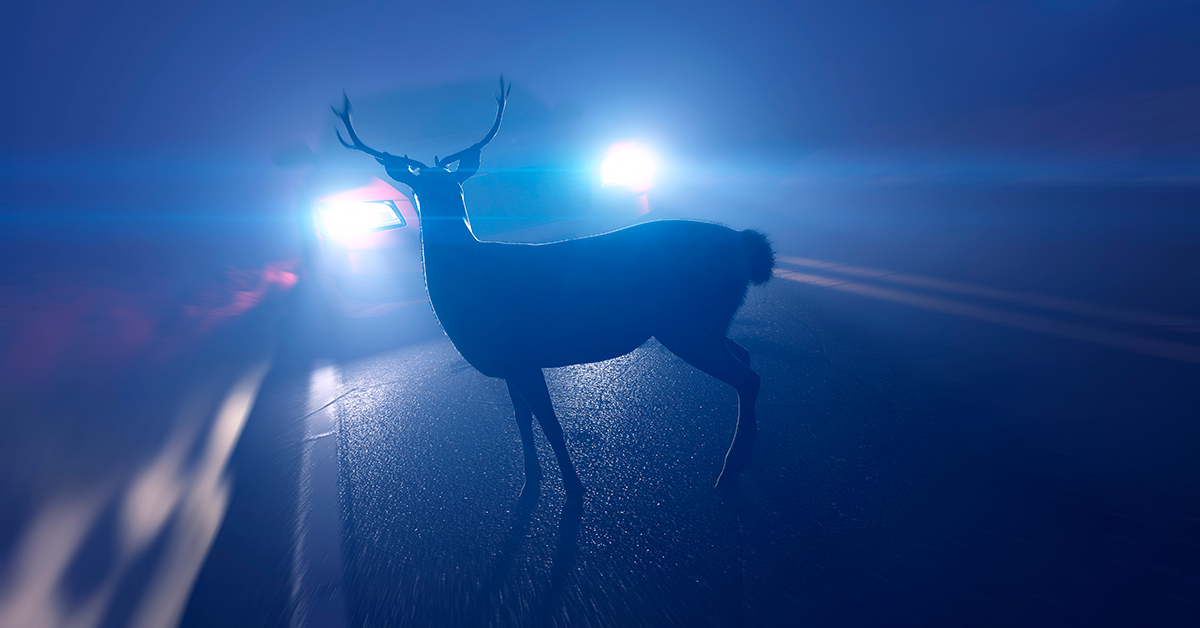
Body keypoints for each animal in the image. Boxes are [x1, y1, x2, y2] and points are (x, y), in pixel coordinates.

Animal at [332, 78, 774, 501]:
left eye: (453, 186)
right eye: (419, 189)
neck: (469, 281)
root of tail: (744, 242)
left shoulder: (520, 354)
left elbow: (550, 424)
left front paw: (574, 490)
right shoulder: (509, 361)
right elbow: (522, 423)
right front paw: (530, 487)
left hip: (687, 320)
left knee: (746, 377)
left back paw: (727, 471)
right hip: (703, 320)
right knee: (746, 357)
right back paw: (748, 451)